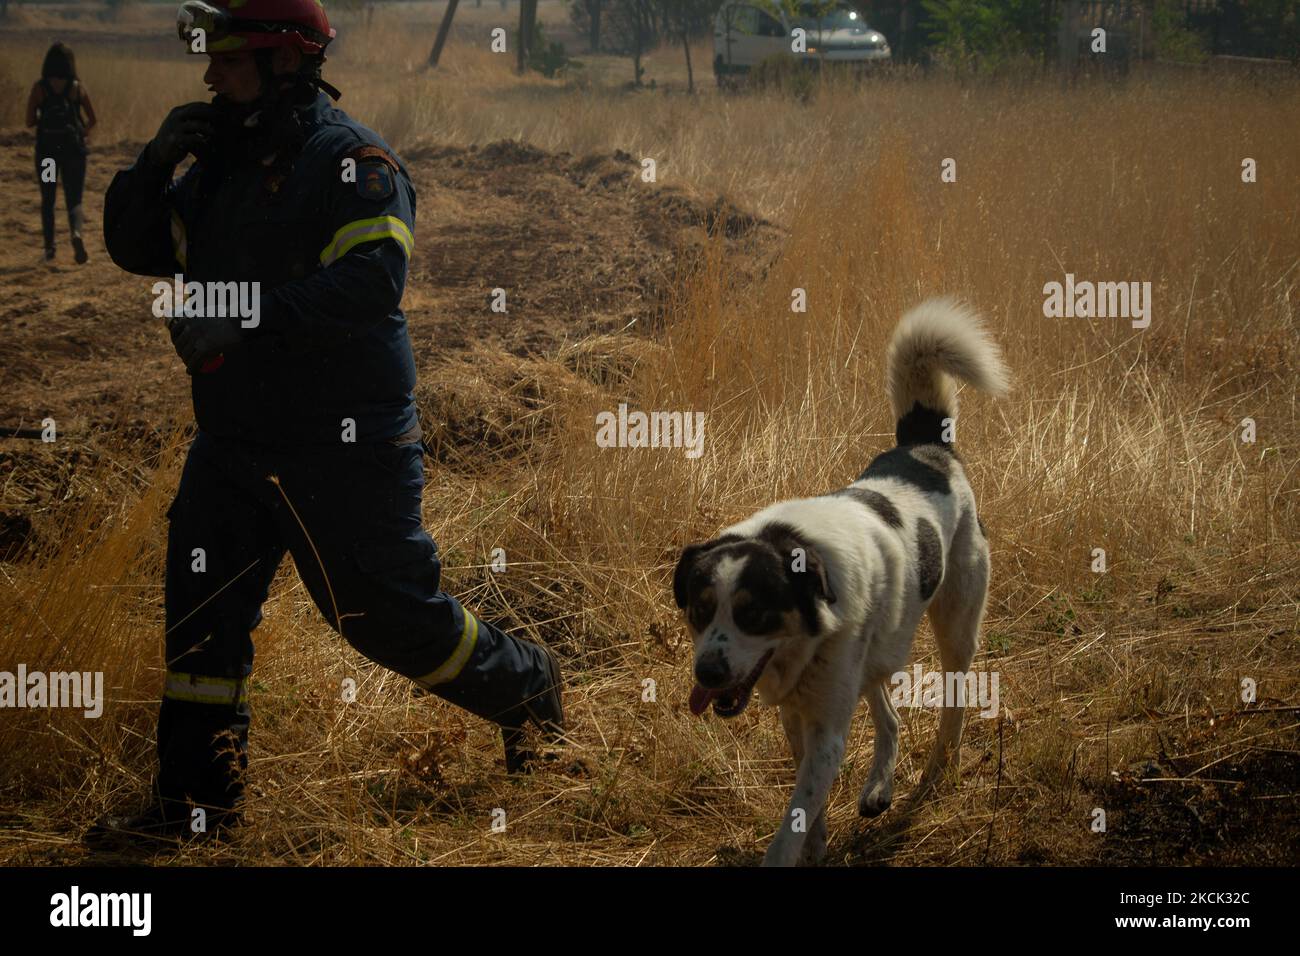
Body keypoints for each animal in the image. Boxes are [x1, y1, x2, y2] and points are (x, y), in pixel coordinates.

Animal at [676, 297, 1008, 868]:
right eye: (699, 611)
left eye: (753, 613)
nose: (708, 673)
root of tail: (924, 444)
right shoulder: (799, 713)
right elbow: (809, 807)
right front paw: (819, 844)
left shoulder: (827, 724)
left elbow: (792, 824)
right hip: (878, 646)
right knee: (888, 713)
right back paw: (879, 787)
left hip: (956, 626)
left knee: (954, 699)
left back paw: (939, 768)